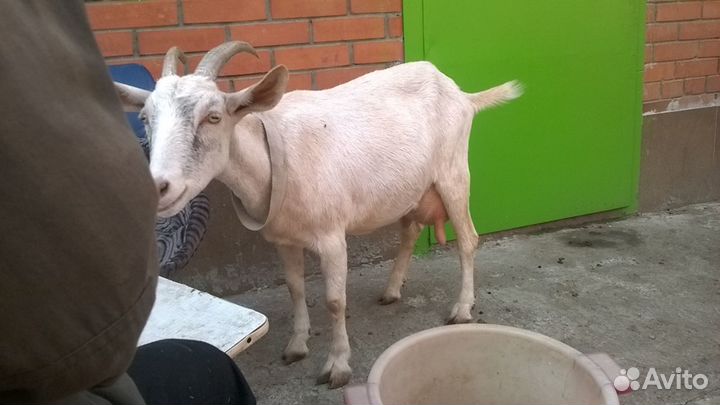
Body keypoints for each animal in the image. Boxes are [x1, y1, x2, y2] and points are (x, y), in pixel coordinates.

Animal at [115, 41, 522, 388]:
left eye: (213, 117)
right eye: (145, 117)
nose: (158, 187)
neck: (274, 157)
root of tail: (462, 95)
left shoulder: (331, 237)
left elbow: (334, 301)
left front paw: (337, 366)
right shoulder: (282, 239)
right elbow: (295, 288)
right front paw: (296, 347)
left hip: (453, 174)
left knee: (468, 238)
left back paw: (461, 309)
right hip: (411, 189)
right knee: (408, 233)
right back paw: (391, 291)